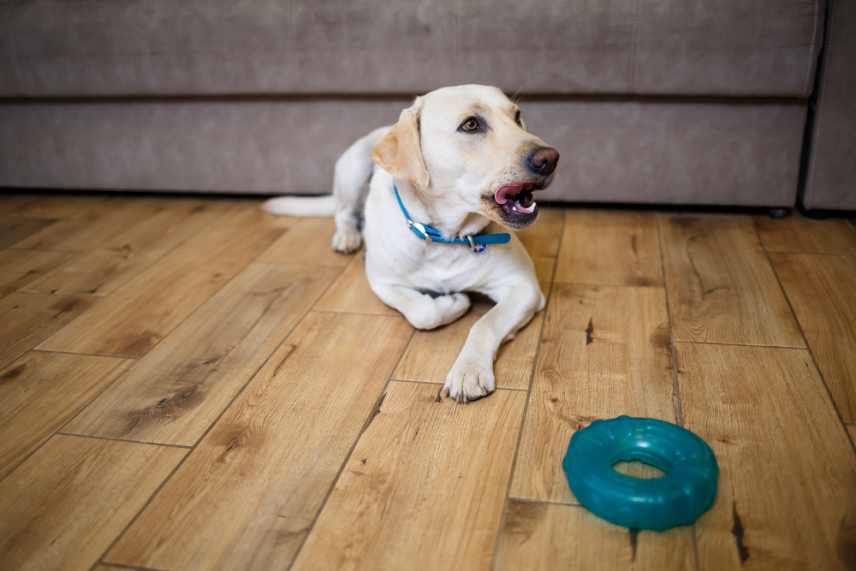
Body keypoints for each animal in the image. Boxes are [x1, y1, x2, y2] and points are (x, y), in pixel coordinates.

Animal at [268, 85, 560, 404]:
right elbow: (423, 312)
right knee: (343, 212)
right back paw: (347, 237)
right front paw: (453, 302)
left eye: (517, 116)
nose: (550, 157)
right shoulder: (383, 282)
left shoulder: (523, 287)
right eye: (471, 124)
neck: (447, 237)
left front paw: (469, 370)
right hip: (352, 167)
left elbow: (485, 323)